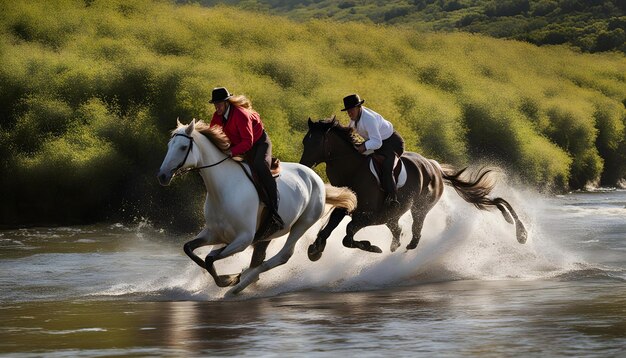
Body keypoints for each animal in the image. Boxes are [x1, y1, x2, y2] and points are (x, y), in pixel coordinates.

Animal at [156, 119, 356, 296]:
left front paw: (229, 279)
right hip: (268, 234)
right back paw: (246, 278)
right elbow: (191, 251)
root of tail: (316, 179)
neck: (223, 189)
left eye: (183, 147)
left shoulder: (243, 239)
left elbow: (209, 258)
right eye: (169, 145)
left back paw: (238, 287)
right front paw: (229, 276)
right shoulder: (213, 234)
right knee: (259, 258)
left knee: (282, 256)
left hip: (302, 224)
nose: (162, 176)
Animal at [300, 117, 524, 260]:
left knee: (415, 232)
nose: (303, 164)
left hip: (420, 208)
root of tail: (434, 166)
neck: (353, 170)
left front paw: (372, 247)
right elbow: (329, 228)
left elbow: (347, 235)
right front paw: (315, 250)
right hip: (394, 215)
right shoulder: (346, 208)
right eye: (304, 141)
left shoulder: (368, 215)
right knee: (399, 230)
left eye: (316, 141)